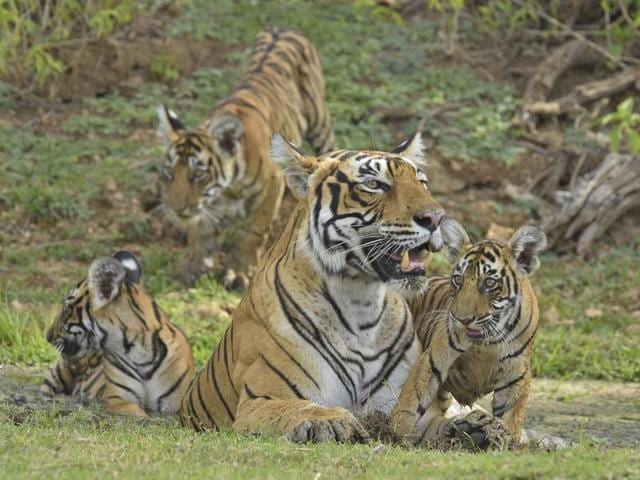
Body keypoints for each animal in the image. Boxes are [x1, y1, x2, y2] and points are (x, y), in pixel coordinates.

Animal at [43, 251, 194, 416]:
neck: (141, 354)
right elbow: (139, 413)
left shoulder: (179, 402)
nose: (48, 337)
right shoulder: (117, 399)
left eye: (67, 309)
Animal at [154, 27, 336, 288]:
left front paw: (238, 272)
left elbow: (251, 232)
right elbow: (200, 229)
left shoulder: (272, 187)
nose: (175, 209)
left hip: (319, 122)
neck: (228, 188)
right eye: (169, 173)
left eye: (198, 175)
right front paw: (195, 264)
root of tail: (282, 28)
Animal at [179, 131, 450, 442]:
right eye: (374, 185)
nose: (436, 218)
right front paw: (332, 420)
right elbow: (299, 408)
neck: (361, 302)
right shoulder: (259, 402)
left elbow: (434, 421)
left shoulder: (404, 407)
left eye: (422, 182)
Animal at [388, 219, 548, 448]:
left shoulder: (517, 374)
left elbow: (511, 413)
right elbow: (413, 396)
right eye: (458, 280)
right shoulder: (434, 357)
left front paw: (507, 438)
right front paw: (397, 430)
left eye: (489, 283)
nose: (462, 319)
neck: (488, 343)